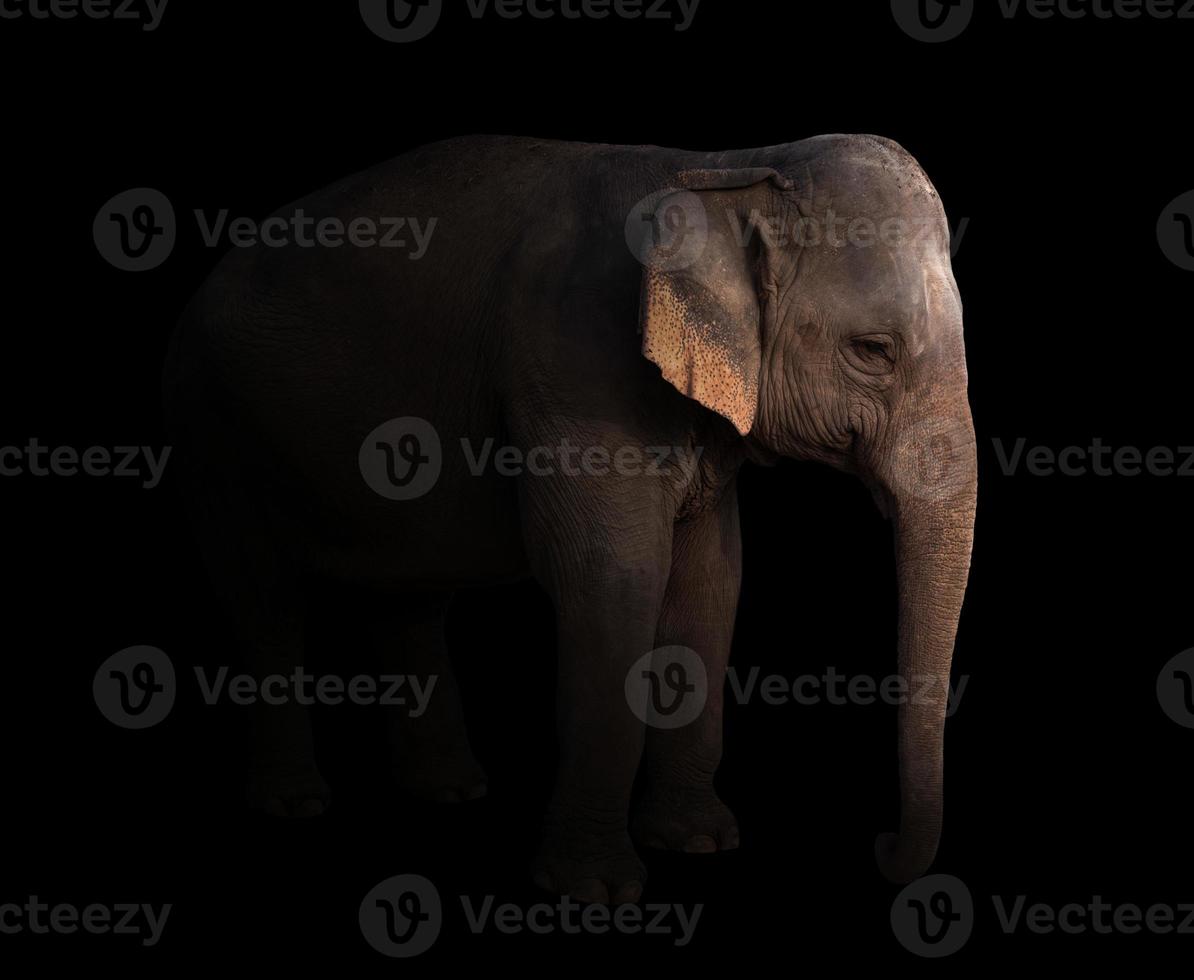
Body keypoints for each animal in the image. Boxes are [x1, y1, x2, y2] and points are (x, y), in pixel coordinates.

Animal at [161, 131, 979, 902]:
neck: (726, 168)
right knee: (261, 594)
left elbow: (710, 585)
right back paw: (294, 802)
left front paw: (698, 842)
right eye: (873, 350)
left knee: (408, 597)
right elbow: (615, 578)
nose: (880, 845)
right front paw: (594, 889)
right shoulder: (574, 360)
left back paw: (449, 789)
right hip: (213, 425)